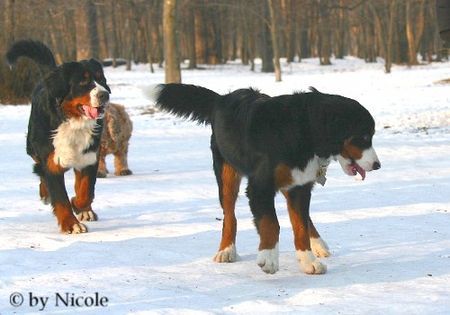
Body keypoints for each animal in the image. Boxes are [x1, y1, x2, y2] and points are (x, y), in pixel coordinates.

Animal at [6, 40, 110, 235]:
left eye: (101, 79)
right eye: (83, 81)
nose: (104, 94)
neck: (72, 123)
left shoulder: (89, 157)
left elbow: (86, 191)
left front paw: (80, 207)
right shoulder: (52, 161)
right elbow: (60, 197)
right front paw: (71, 224)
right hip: (33, 147)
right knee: (39, 171)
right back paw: (45, 194)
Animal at [151, 85, 380, 276]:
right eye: (363, 136)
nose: (377, 165)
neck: (300, 130)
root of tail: (222, 98)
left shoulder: (299, 186)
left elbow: (300, 226)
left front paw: (307, 261)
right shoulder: (260, 186)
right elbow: (271, 223)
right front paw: (268, 258)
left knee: (305, 219)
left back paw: (318, 244)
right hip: (227, 174)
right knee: (229, 216)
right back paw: (226, 250)